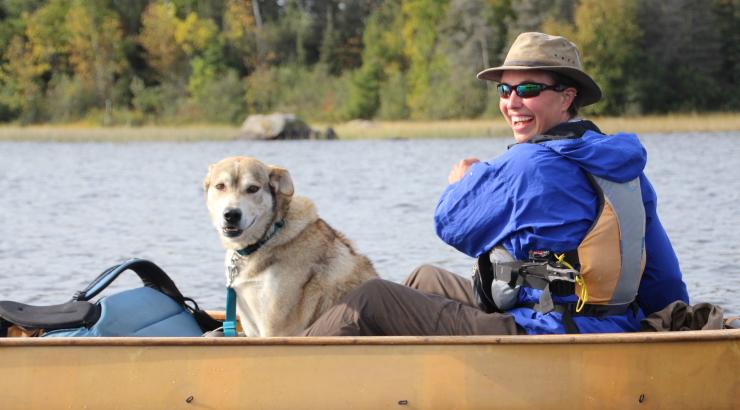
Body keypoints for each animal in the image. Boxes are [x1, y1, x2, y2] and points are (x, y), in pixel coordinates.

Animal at [204, 157, 378, 336]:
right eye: (220, 186)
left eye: (253, 188)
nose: (231, 214)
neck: (269, 236)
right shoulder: (250, 325)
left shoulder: (277, 328)